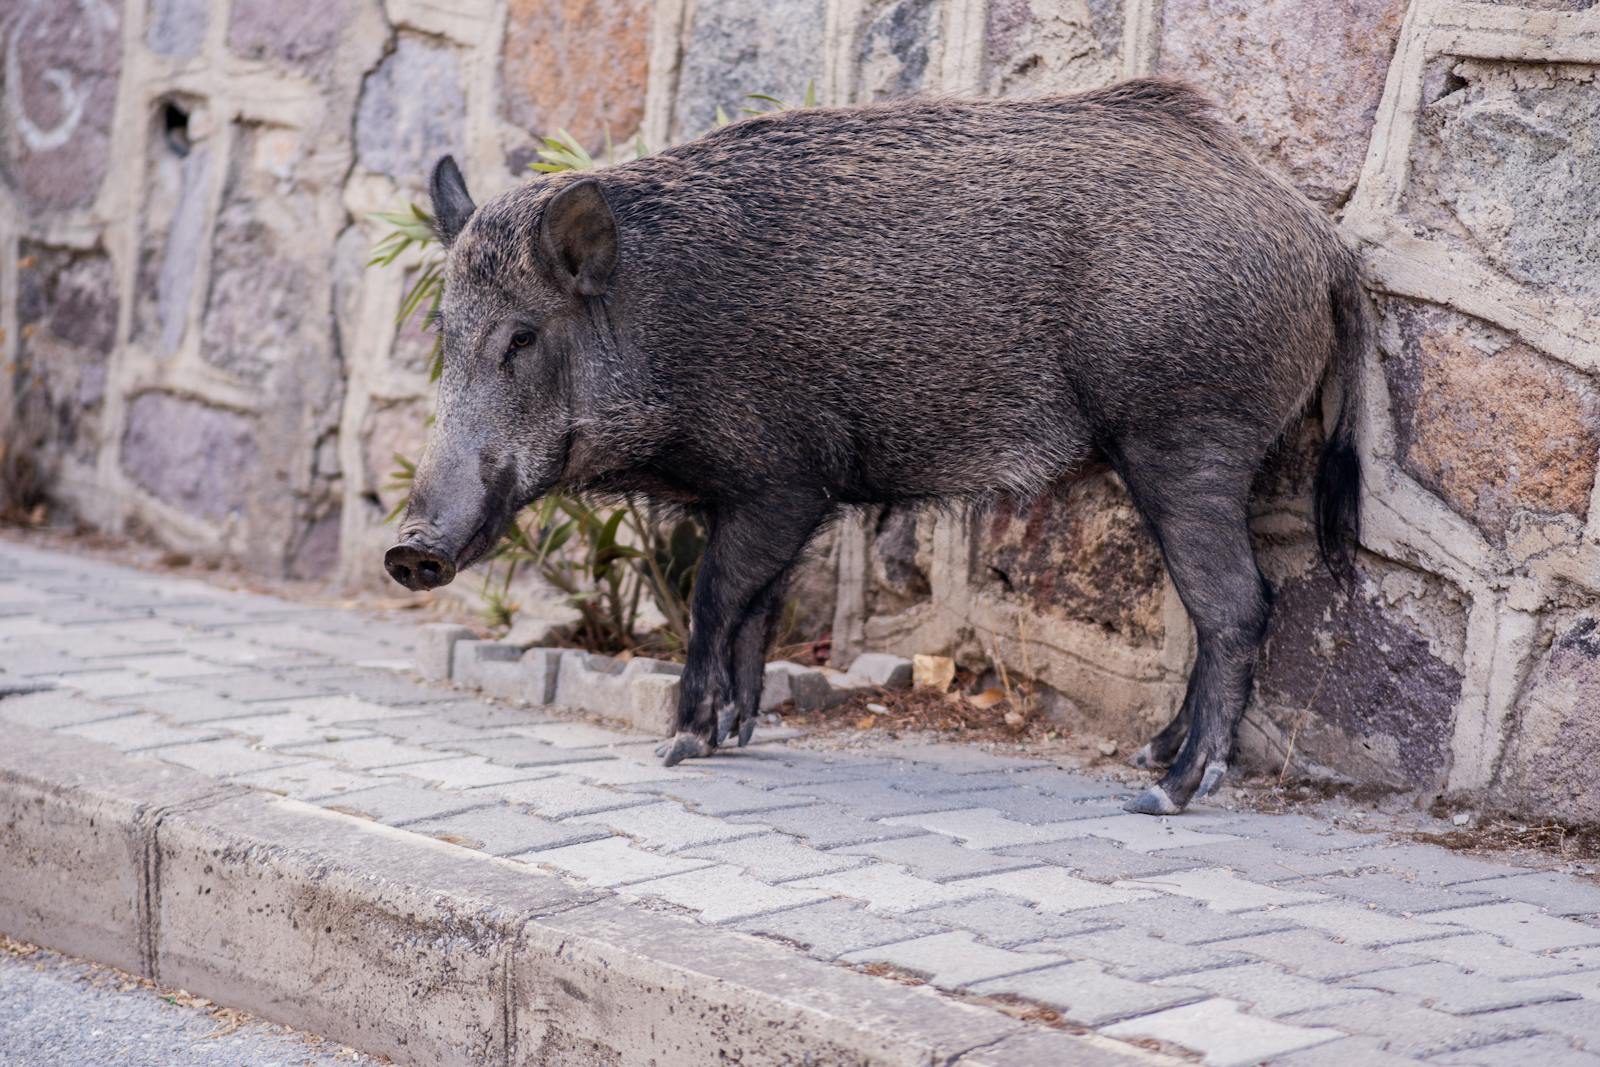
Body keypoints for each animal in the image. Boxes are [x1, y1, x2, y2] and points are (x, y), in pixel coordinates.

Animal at [384, 77, 1367, 816]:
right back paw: (1149, 757)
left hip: (1187, 431)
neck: (658, 327)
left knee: (1238, 602)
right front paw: (734, 733)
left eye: (520, 337)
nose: (409, 549)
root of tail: (1324, 243)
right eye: (443, 332)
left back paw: (1168, 790)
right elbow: (758, 606)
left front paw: (681, 744)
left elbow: (715, 596)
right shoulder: (765, 495)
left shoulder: (784, 476)